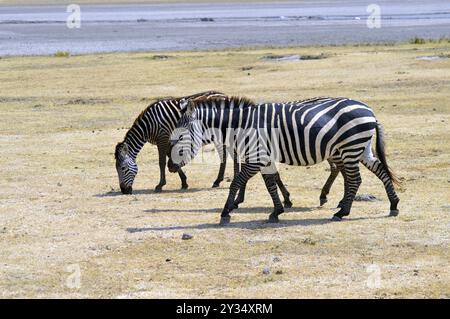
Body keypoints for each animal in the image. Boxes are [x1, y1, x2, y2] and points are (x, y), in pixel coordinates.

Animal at [169, 96, 400, 224]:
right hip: (360, 148)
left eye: (179, 137)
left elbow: (237, 181)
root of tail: (369, 110)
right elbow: (270, 184)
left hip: (350, 147)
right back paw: (393, 204)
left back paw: (342, 212)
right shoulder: (264, 158)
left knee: (355, 180)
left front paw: (226, 212)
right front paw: (277, 210)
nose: (171, 167)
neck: (242, 125)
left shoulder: (257, 157)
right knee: (379, 170)